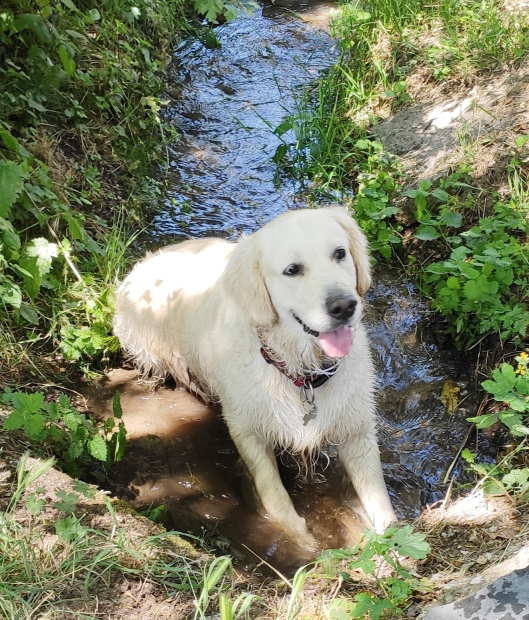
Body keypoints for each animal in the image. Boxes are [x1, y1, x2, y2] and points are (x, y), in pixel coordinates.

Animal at [115, 206, 396, 544]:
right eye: (292, 270)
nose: (344, 306)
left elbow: (383, 507)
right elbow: (276, 502)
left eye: (340, 253)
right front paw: (304, 543)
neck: (301, 373)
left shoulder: (357, 430)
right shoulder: (248, 431)